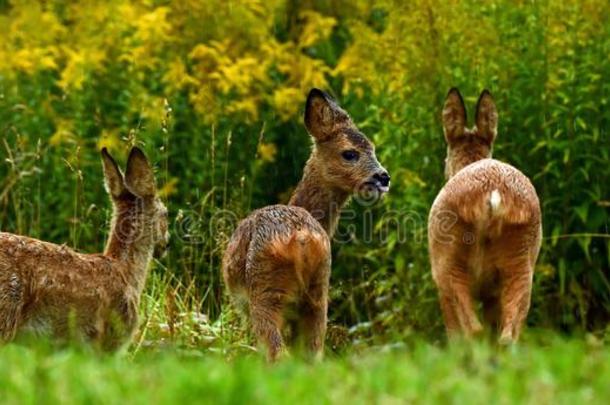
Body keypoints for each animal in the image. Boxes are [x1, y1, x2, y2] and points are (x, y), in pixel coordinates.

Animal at [223, 87, 390, 360]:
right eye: (350, 153)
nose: (383, 177)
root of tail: (301, 237)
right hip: (319, 292)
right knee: (313, 353)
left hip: (265, 291)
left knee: (277, 353)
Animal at [426, 89, 540, 344]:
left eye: (445, 157)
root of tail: (493, 195)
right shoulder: (491, 294)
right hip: (521, 258)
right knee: (508, 334)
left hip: (448, 262)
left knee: (472, 331)